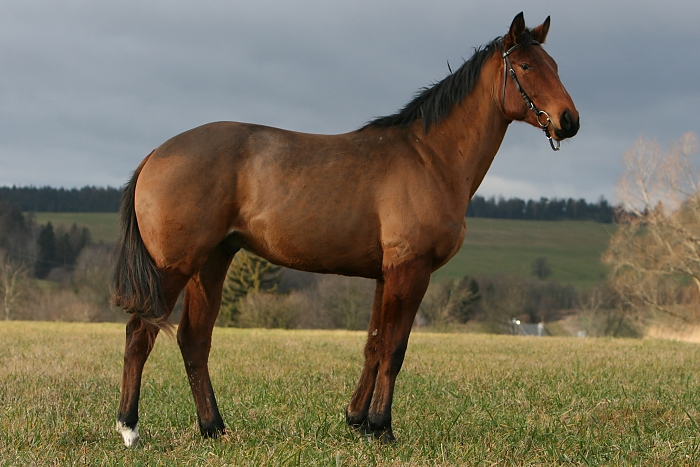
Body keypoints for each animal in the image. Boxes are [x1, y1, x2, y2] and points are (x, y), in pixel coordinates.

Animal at [110, 12, 580, 448]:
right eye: (525, 66)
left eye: (555, 64)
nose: (569, 120)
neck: (430, 156)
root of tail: (157, 153)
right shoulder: (410, 270)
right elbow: (394, 349)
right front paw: (382, 427)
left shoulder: (385, 275)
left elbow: (373, 345)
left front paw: (358, 421)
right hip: (172, 267)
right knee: (139, 335)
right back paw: (130, 429)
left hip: (211, 262)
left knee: (194, 340)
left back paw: (213, 428)